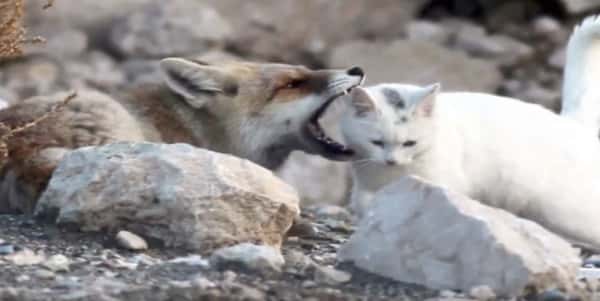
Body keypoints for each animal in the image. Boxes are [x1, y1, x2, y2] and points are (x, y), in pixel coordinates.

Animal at [340, 83, 600, 250]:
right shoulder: (364, 186)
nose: (391, 160)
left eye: (409, 143)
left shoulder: (440, 183)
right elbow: (368, 205)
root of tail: (576, 126)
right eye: (376, 142)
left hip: (567, 212)